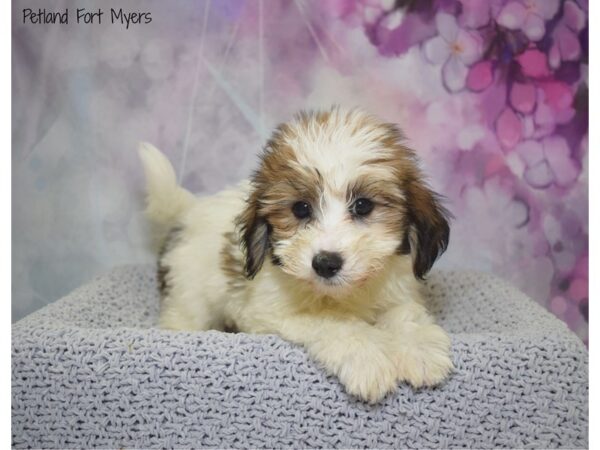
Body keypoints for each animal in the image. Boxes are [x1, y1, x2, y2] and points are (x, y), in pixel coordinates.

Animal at [139, 107, 450, 402]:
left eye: (363, 205)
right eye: (300, 208)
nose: (325, 263)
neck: (344, 295)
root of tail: (190, 209)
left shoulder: (397, 289)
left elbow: (404, 314)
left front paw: (420, 348)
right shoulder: (267, 311)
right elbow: (333, 322)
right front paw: (367, 356)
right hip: (190, 293)